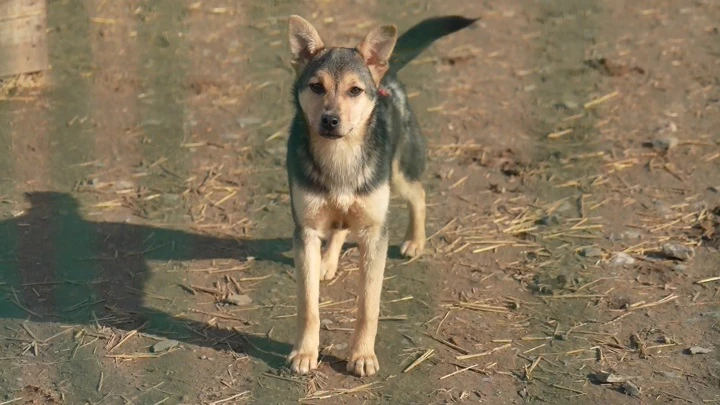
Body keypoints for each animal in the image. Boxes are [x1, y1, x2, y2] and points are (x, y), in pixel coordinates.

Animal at [284, 14, 476, 378]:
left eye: (354, 91)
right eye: (316, 87)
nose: (330, 120)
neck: (340, 156)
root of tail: (387, 71)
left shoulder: (375, 233)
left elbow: (368, 306)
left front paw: (361, 355)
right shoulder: (306, 231)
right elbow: (308, 305)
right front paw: (305, 352)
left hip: (397, 173)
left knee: (418, 193)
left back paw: (415, 240)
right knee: (341, 224)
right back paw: (327, 262)